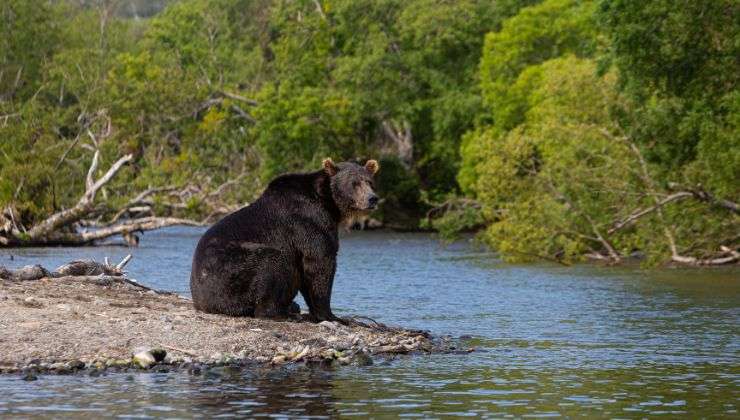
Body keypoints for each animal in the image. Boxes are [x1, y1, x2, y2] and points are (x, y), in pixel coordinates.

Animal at [189, 158, 382, 322]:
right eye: (354, 183)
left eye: (370, 182)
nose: (372, 198)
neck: (329, 204)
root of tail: (200, 301)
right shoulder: (308, 223)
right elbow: (320, 263)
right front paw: (331, 315)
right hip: (231, 270)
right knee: (272, 261)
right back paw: (283, 312)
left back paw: (291, 307)